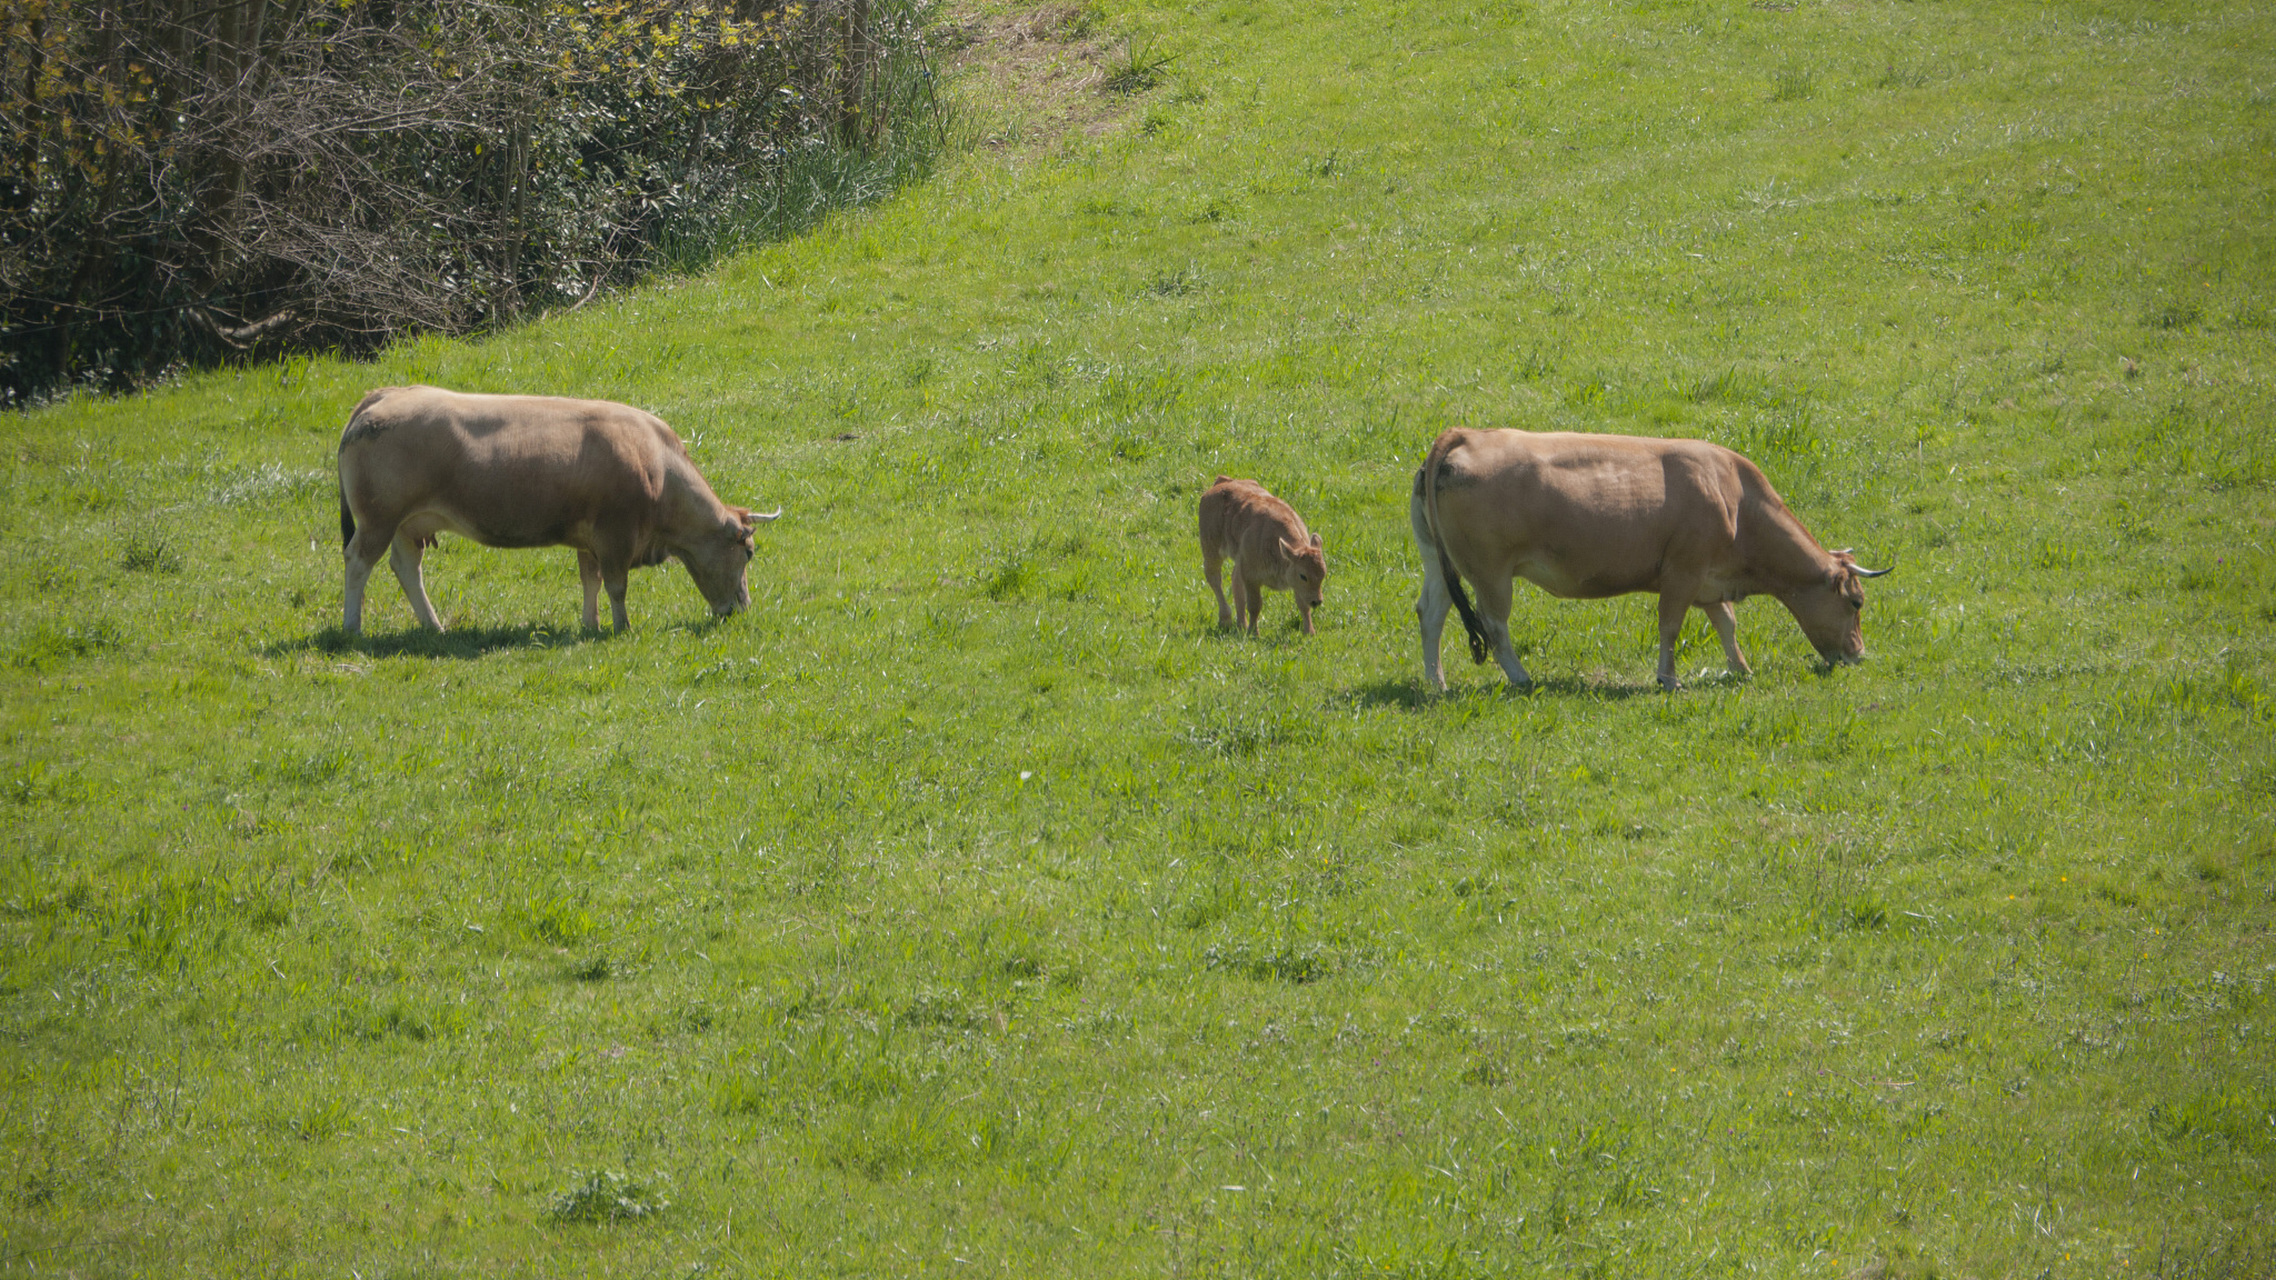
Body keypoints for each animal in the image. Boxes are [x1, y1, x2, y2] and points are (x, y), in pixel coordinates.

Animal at [330, 382, 773, 633]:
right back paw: (352, 627)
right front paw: (621, 627)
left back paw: (434, 627)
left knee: (406, 568)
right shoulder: (615, 535)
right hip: (378, 520)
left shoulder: (589, 539)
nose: (743, 609)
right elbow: (616, 585)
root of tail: (383, 396)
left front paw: (591, 624)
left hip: (408, 524)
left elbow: (590, 580)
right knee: (358, 562)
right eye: (748, 553)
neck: (658, 467)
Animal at [1201, 473, 1329, 633]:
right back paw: (1226, 620)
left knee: (1235, 580)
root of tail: (1221, 482)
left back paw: (1241, 624)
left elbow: (1303, 606)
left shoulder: (1296, 584)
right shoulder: (1251, 576)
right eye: (1303, 576)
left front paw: (1309, 632)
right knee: (1215, 579)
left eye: (1323, 574)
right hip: (1212, 551)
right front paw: (1253, 633)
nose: (1317, 601)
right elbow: (1254, 606)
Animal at [1411, 425, 1893, 687]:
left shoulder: (1708, 580)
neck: (1735, 498)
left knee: (1431, 613)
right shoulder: (1683, 573)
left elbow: (1726, 622)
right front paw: (1669, 678)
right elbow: (1671, 625)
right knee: (1494, 624)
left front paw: (1740, 668)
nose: (1858, 654)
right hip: (1491, 572)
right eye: (1856, 602)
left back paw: (1436, 683)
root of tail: (1463, 435)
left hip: (1440, 562)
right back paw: (1520, 677)